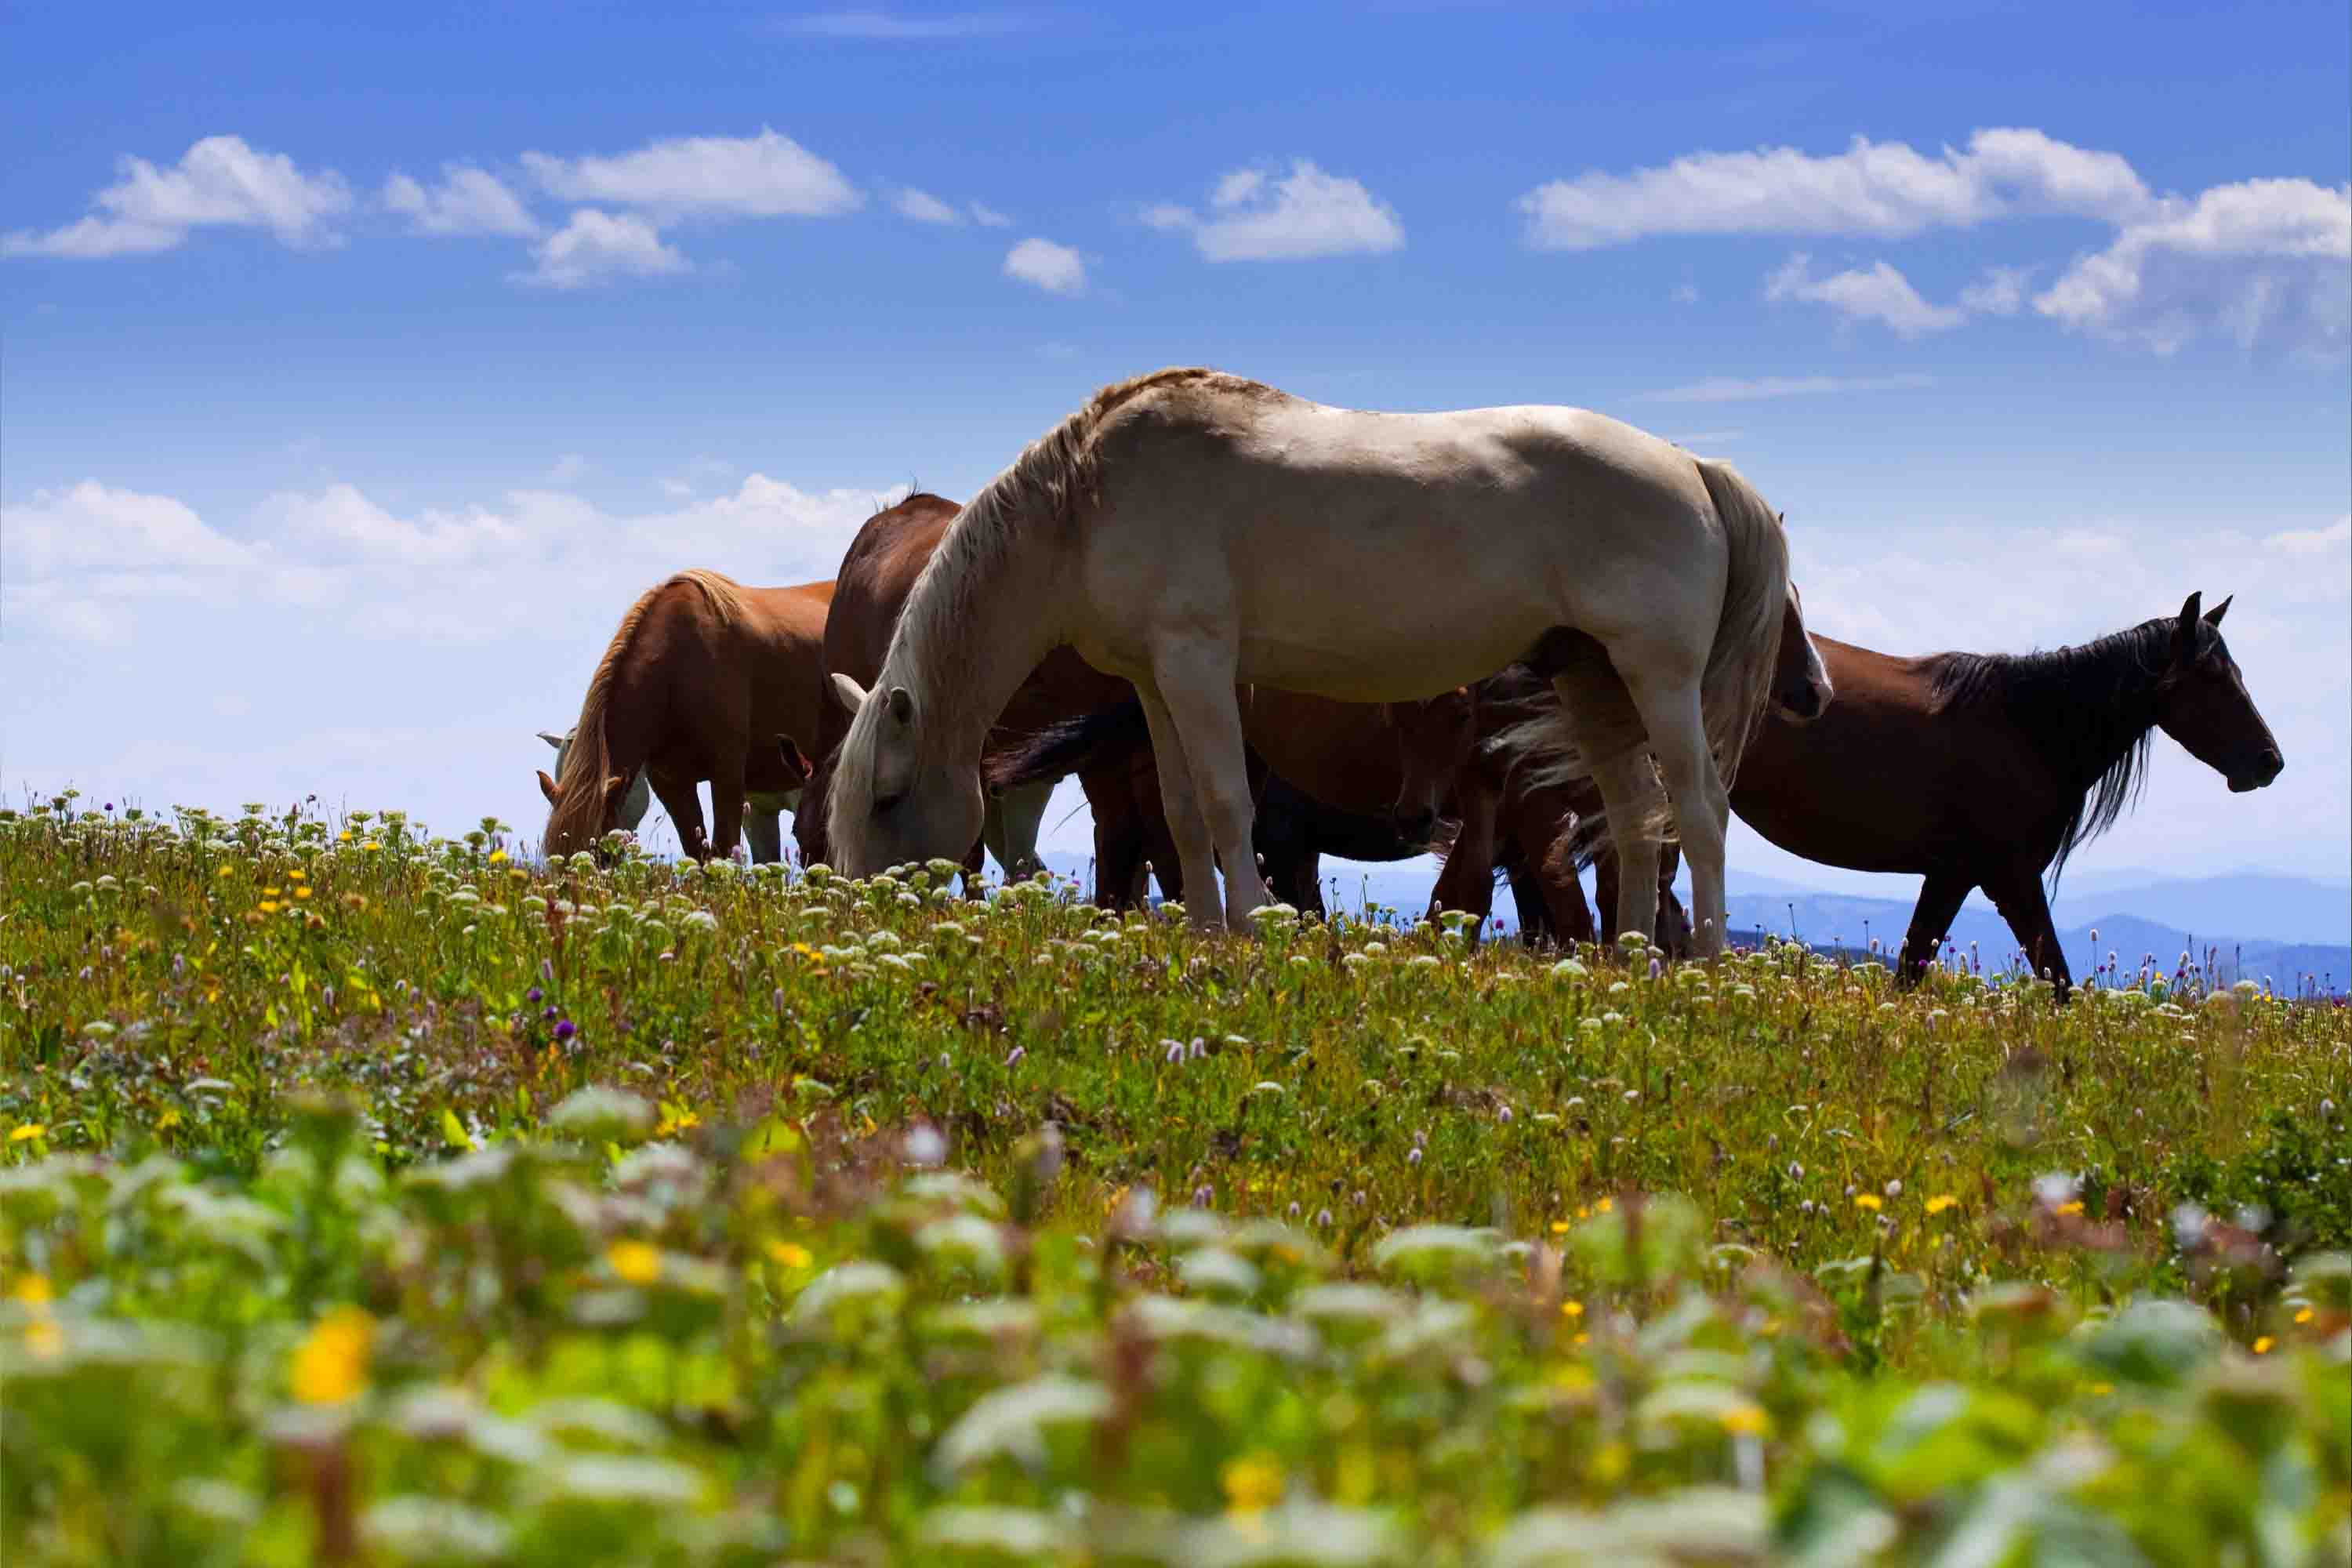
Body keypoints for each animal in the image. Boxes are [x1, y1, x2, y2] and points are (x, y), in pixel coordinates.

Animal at [827, 368, 1824, 953]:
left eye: (887, 797)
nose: (867, 920)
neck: (1087, 498)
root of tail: (1692, 467)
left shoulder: (1198, 661)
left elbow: (1224, 803)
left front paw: (1246, 931)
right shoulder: (1155, 678)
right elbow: (1181, 813)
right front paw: (1205, 934)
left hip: (1658, 678)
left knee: (1696, 809)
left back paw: (1695, 966)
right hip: (1592, 681)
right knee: (1634, 817)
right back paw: (1626, 961)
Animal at [1724, 592, 2280, 994]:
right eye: (2209, 675)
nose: (2269, 761)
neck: (2028, 725)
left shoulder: (1951, 876)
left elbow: (1911, 972)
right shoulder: (2006, 877)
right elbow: (2058, 982)